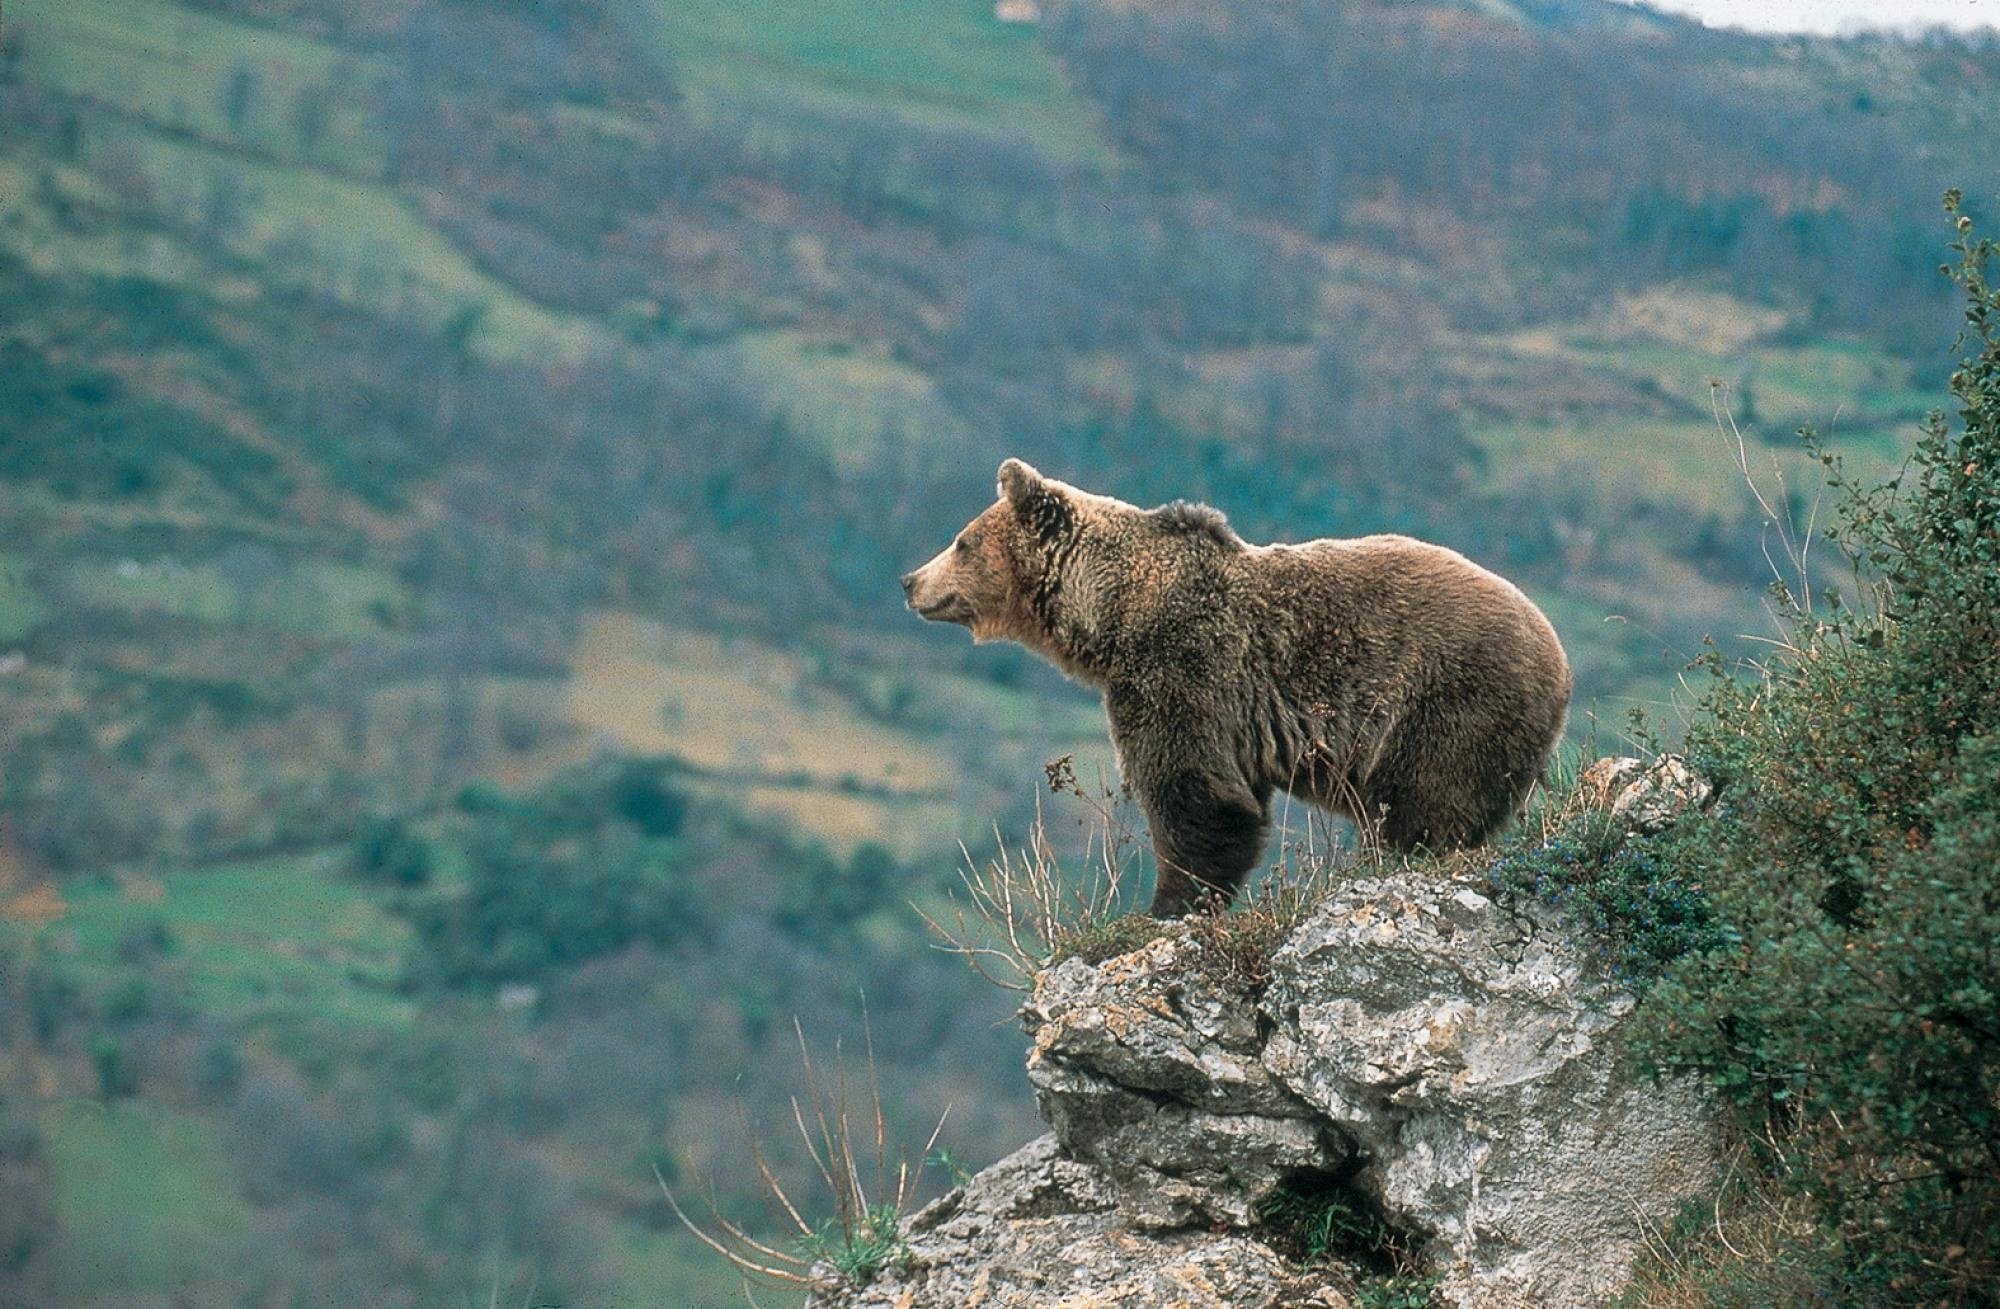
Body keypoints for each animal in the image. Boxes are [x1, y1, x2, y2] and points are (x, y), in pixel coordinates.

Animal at [900, 464, 1568, 924]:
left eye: (960, 541)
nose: (909, 580)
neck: (1112, 615)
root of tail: (1559, 661)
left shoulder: (1185, 668)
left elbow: (1193, 791)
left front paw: (1167, 905)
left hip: (1447, 699)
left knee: (1427, 802)